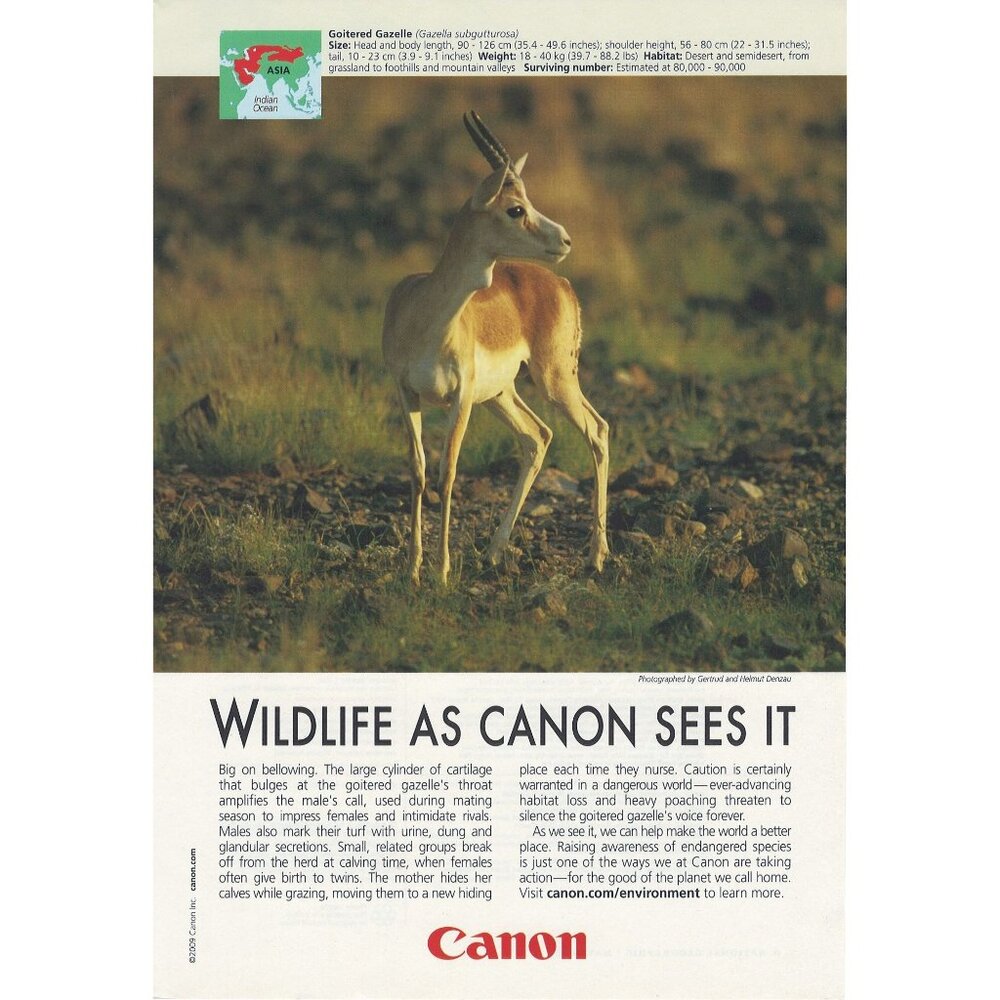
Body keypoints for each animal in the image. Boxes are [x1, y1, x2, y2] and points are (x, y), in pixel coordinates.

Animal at [382, 111, 609, 585]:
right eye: (515, 208)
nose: (565, 239)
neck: (426, 314)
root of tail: (561, 284)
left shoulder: (461, 397)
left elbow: (448, 473)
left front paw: (441, 571)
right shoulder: (406, 392)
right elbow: (418, 471)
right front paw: (412, 568)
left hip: (553, 382)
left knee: (597, 430)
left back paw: (596, 557)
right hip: (502, 394)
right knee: (538, 437)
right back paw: (492, 552)